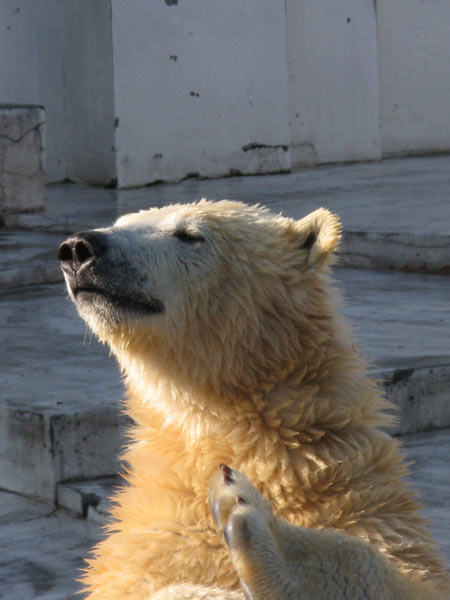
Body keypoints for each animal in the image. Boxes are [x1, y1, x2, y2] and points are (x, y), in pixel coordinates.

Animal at [58, 203, 448, 600]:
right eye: (119, 223)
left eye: (190, 235)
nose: (80, 248)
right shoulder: (150, 543)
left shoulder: (366, 501)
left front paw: (253, 519)